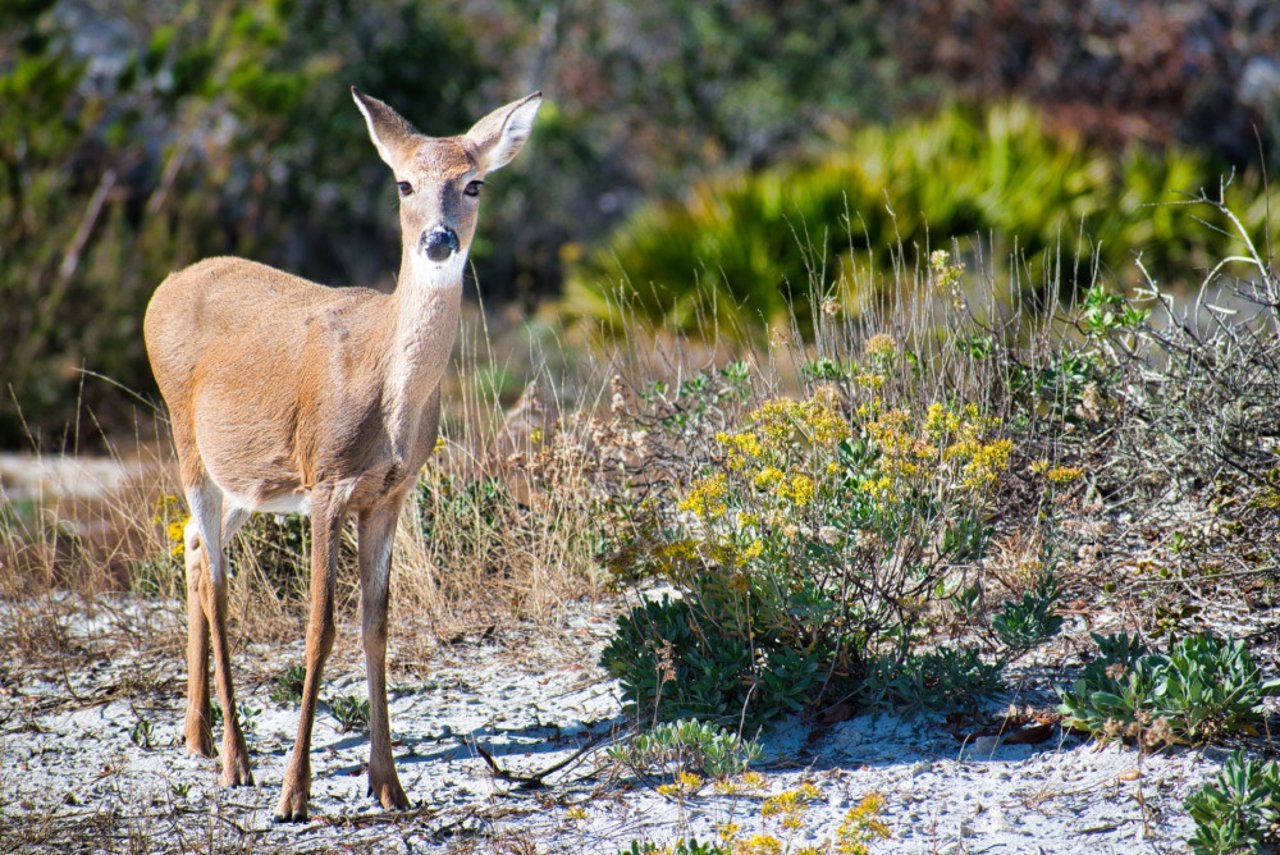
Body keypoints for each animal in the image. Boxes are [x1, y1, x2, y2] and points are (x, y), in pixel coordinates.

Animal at [142, 87, 542, 819]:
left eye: (474, 183)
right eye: (403, 183)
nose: (438, 239)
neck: (387, 392)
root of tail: (166, 286)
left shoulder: (389, 493)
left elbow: (375, 625)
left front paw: (389, 784)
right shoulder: (327, 479)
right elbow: (319, 628)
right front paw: (295, 794)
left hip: (249, 479)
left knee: (190, 545)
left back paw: (198, 734)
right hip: (188, 442)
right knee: (217, 582)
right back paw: (238, 760)